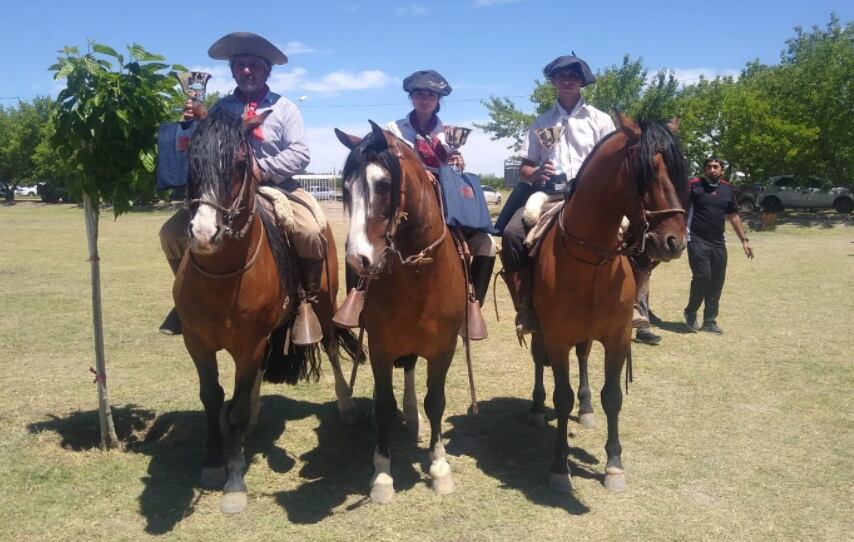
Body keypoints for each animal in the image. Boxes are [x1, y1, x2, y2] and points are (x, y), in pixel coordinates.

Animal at [174, 108, 362, 516]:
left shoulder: (250, 342)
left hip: (324, 303)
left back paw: (345, 406)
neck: (223, 276)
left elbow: (236, 409)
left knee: (331, 347)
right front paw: (213, 461)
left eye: (240, 162)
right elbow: (212, 397)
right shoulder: (197, 343)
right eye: (190, 160)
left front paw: (234, 481)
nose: (203, 233)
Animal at [334, 123, 468, 506]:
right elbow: (382, 404)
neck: (420, 275)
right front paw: (381, 475)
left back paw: (412, 417)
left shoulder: (443, 348)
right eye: (345, 187)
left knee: (410, 370)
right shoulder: (381, 347)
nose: (358, 259)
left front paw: (439, 467)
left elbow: (435, 401)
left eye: (382, 184)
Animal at [536, 116, 688, 498]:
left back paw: (586, 408)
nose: (675, 242)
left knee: (584, 357)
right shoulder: (556, 338)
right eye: (647, 173)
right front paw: (559, 466)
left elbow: (613, 397)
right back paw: (535, 405)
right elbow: (561, 397)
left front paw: (614, 465)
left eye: (679, 171)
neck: (590, 261)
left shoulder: (617, 339)